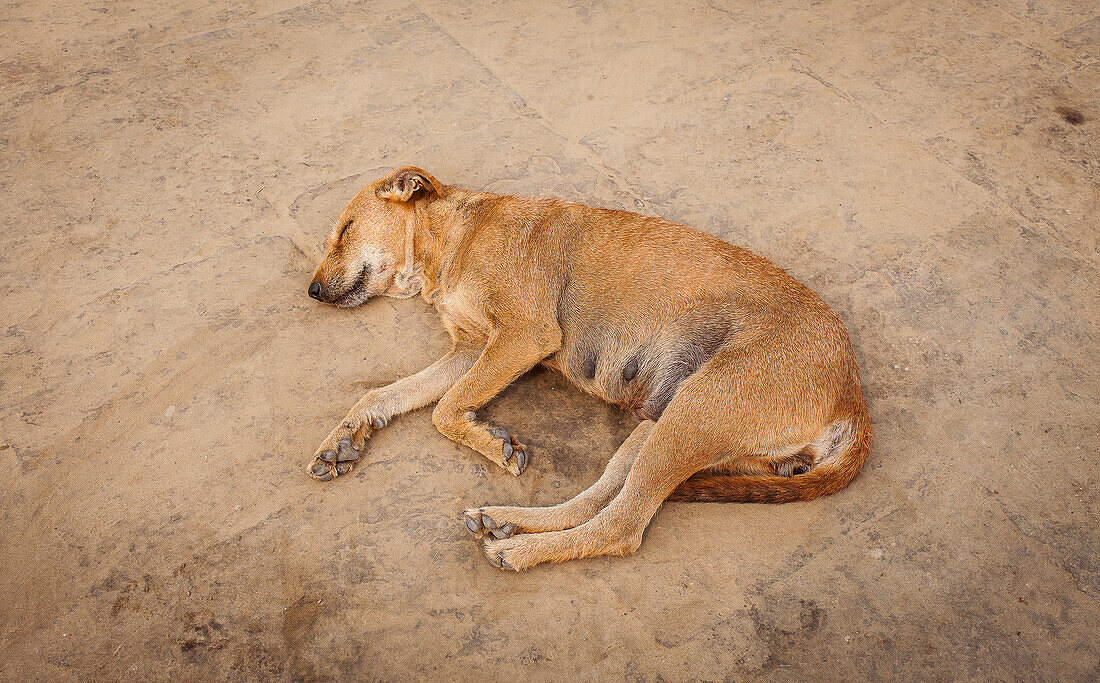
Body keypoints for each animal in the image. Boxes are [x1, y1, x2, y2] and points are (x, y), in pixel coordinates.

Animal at [308, 166, 866, 571]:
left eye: (344, 231)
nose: (311, 292)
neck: (457, 238)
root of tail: (853, 400)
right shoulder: (472, 349)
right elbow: (385, 395)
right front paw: (343, 441)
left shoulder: (520, 338)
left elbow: (443, 411)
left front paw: (489, 440)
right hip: (661, 425)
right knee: (599, 498)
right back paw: (505, 521)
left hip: (693, 413)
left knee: (621, 527)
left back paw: (518, 551)